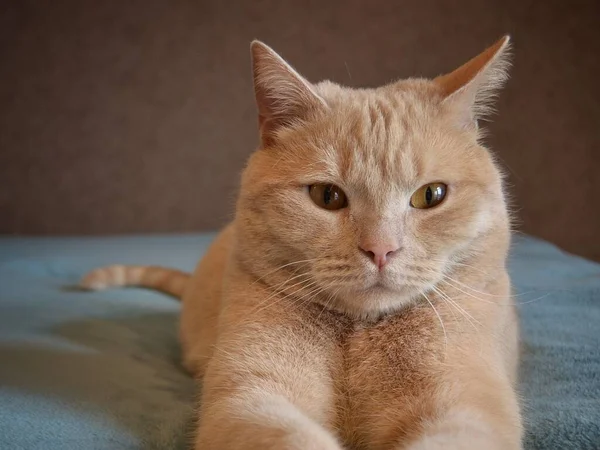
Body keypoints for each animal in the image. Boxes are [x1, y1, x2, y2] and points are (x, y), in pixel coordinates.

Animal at [82, 36, 524, 450]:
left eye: (430, 195)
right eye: (327, 196)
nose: (380, 250)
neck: (357, 335)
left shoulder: (466, 404)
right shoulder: (250, 395)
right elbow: (292, 436)